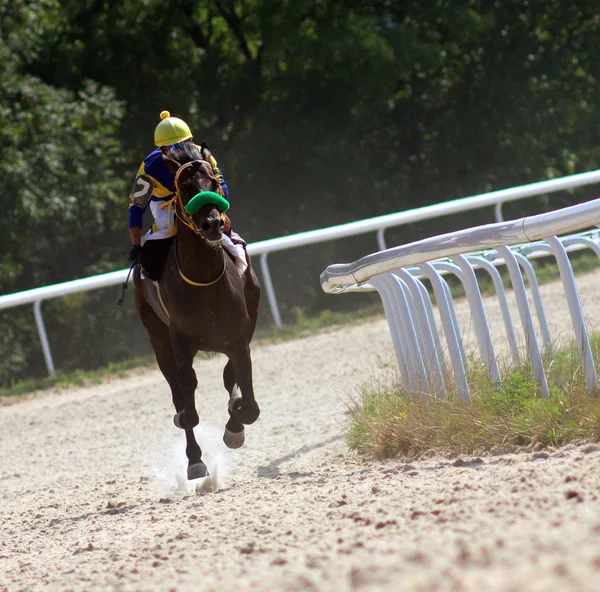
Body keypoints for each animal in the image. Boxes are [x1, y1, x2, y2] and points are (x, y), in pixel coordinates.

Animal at [132, 143, 258, 480]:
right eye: (186, 187)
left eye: (214, 182)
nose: (213, 223)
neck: (204, 280)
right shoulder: (180, 338)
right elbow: (186, 386)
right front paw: (190, 437)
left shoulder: (238, 339)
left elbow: (245, 397)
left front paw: (235, 423)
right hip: (157, 337)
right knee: (178, 389)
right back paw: (194, 457)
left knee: (227, 379)